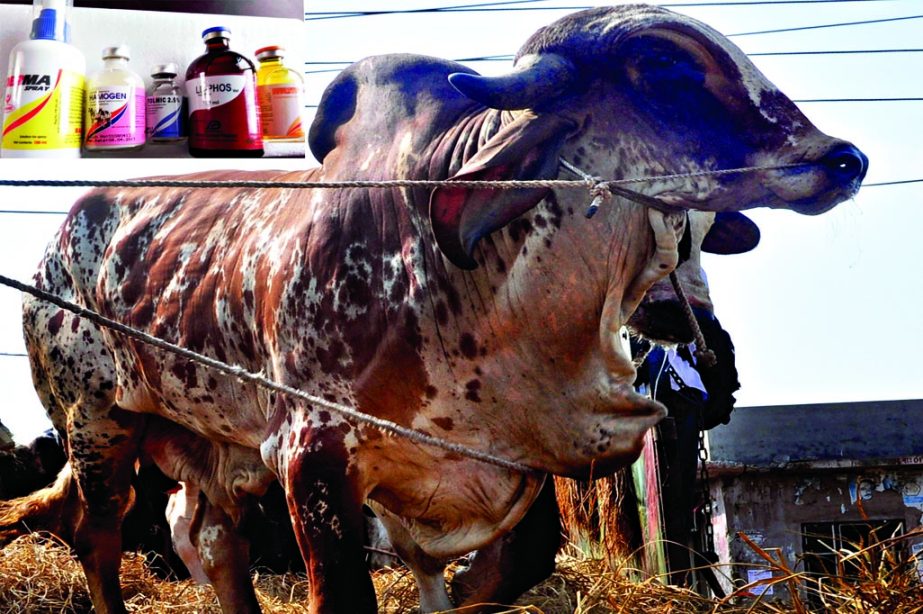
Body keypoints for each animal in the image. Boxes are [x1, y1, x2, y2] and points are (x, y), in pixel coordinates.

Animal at [0, 6, 868, 614]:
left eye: (696, 241)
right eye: (660, 67)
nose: (843, 158)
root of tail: (58, 238)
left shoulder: (514, 468)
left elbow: (501, 573)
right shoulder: (312, 457)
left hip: (209, 445)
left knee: (207, 539)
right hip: (97, 425)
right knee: (97, 536)